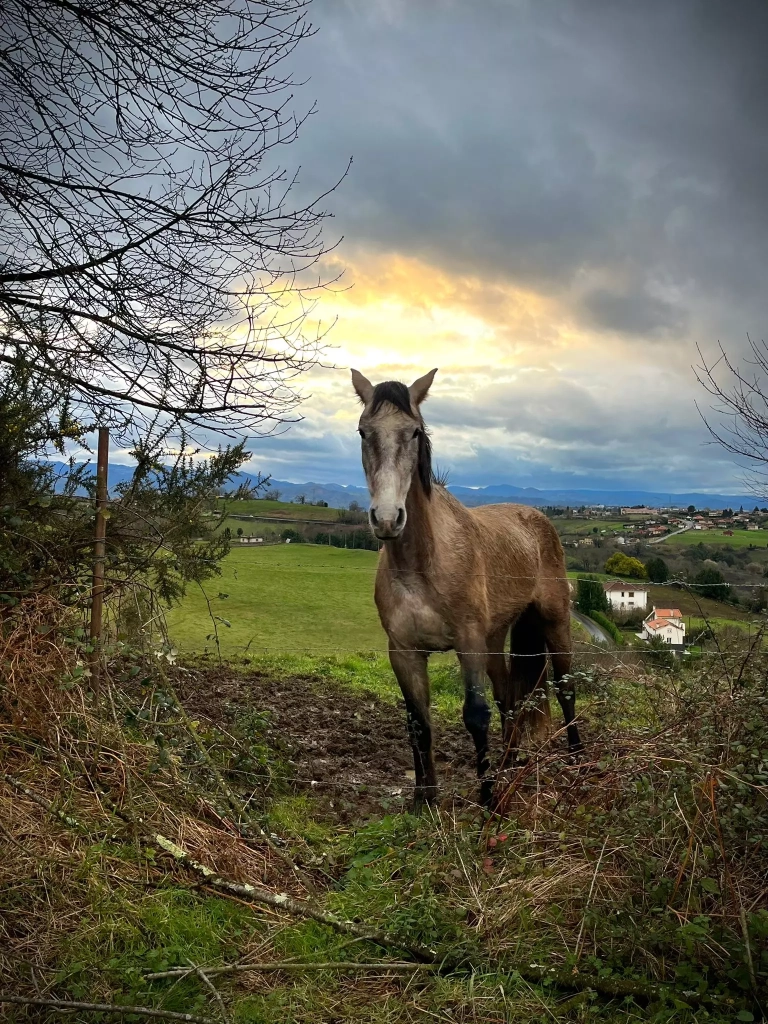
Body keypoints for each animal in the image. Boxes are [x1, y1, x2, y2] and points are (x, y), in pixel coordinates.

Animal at [351, 367, 583, 808]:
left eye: (414, 432)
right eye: (362, 432)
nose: (387, 519)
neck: (421, 565)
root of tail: (538, 520)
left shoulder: (469, 642)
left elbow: (476, 715)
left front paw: (489, 800)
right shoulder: (404, 652)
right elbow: (418, 722)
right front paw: (424, 801)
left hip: (553, 623)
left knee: (565, 689)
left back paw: (580, 762)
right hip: (497, 638)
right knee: (509, 698)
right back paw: (510, 765)